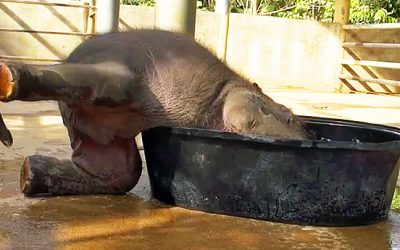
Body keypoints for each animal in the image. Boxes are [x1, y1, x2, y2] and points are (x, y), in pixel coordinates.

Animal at [0, 30, 312, 196]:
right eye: (287, 114)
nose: (308, 135)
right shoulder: (237, 100)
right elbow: (241, 111)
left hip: (100, 133)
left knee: (120, 172)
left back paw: (28, 174)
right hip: (120, 79)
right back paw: (10, 78)